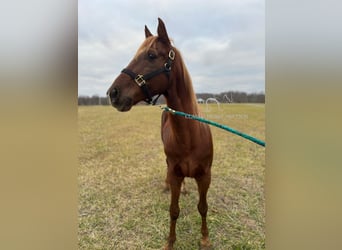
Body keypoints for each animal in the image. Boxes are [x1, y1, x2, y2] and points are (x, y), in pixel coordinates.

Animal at [107, 18, 214, 249]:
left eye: (151, 55)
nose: (112, 93)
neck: (190, 137)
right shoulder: (175, 173)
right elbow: (173, 211)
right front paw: (170, 242)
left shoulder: (205, 176)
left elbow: (203, 207)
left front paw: (205, 238)